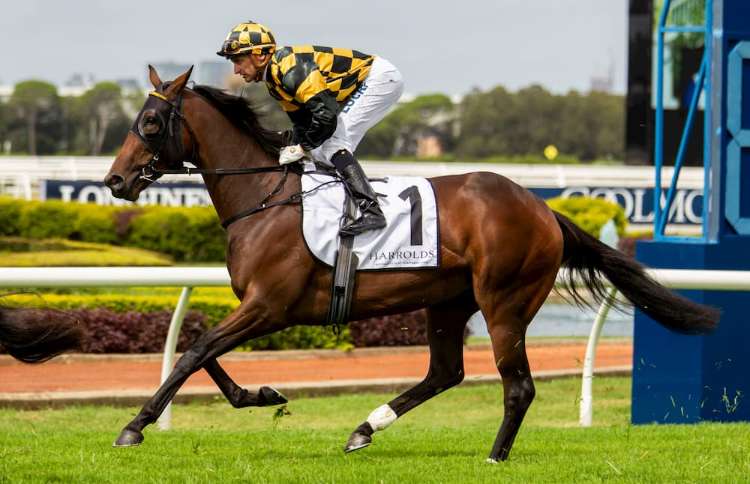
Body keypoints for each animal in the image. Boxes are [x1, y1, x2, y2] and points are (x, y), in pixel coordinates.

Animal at [0, 66, 719, 462]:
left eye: (150, 122)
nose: (115, 180)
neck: (264, 197)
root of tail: (542, 209)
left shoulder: (269, 305)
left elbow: (195, 351)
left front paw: (134, 426)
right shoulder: (256, 306)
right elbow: (201, 350)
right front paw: (262, 395)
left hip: (505, 299)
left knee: (517, 386)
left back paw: (493, 456)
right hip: (448, 300)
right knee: (445, 373)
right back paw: (363, 430)